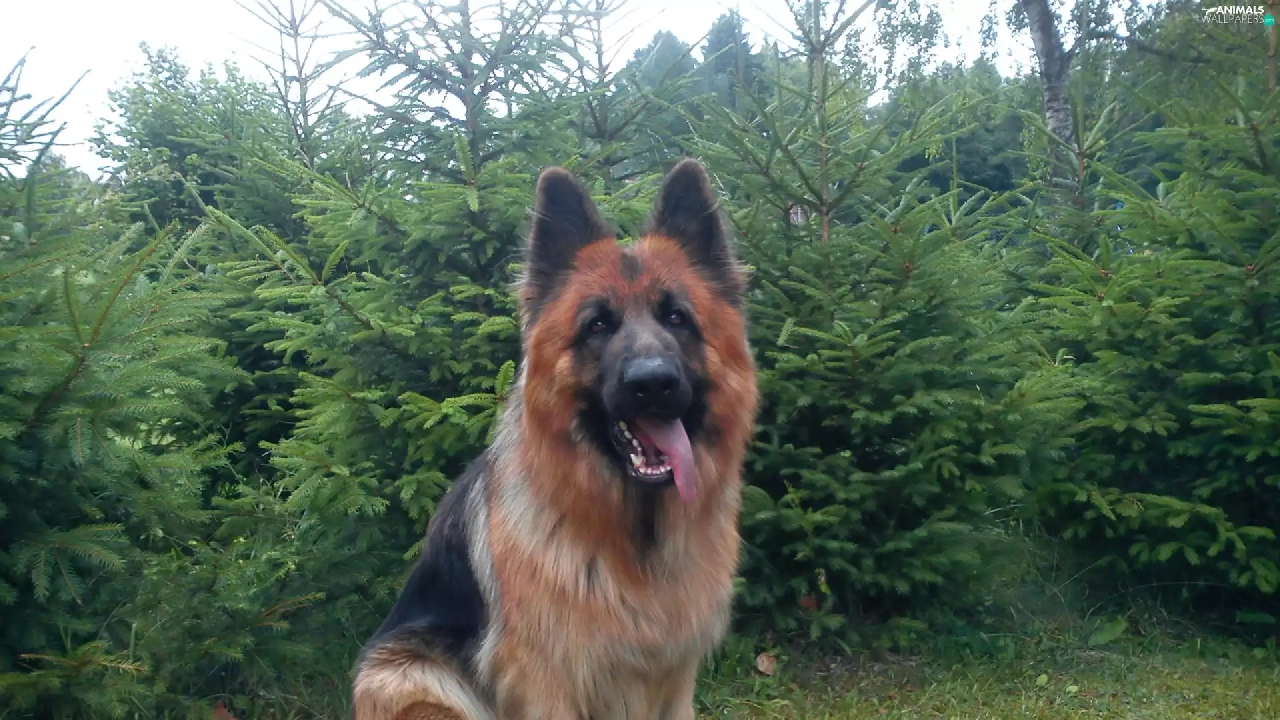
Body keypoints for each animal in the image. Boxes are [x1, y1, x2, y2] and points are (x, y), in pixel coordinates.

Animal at [352, 158, 759, 720]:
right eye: (598, 325)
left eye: (677, 317)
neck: (636, 539)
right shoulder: (547, 683)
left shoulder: (676, 678)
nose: (653, 383)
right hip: (414, 680)